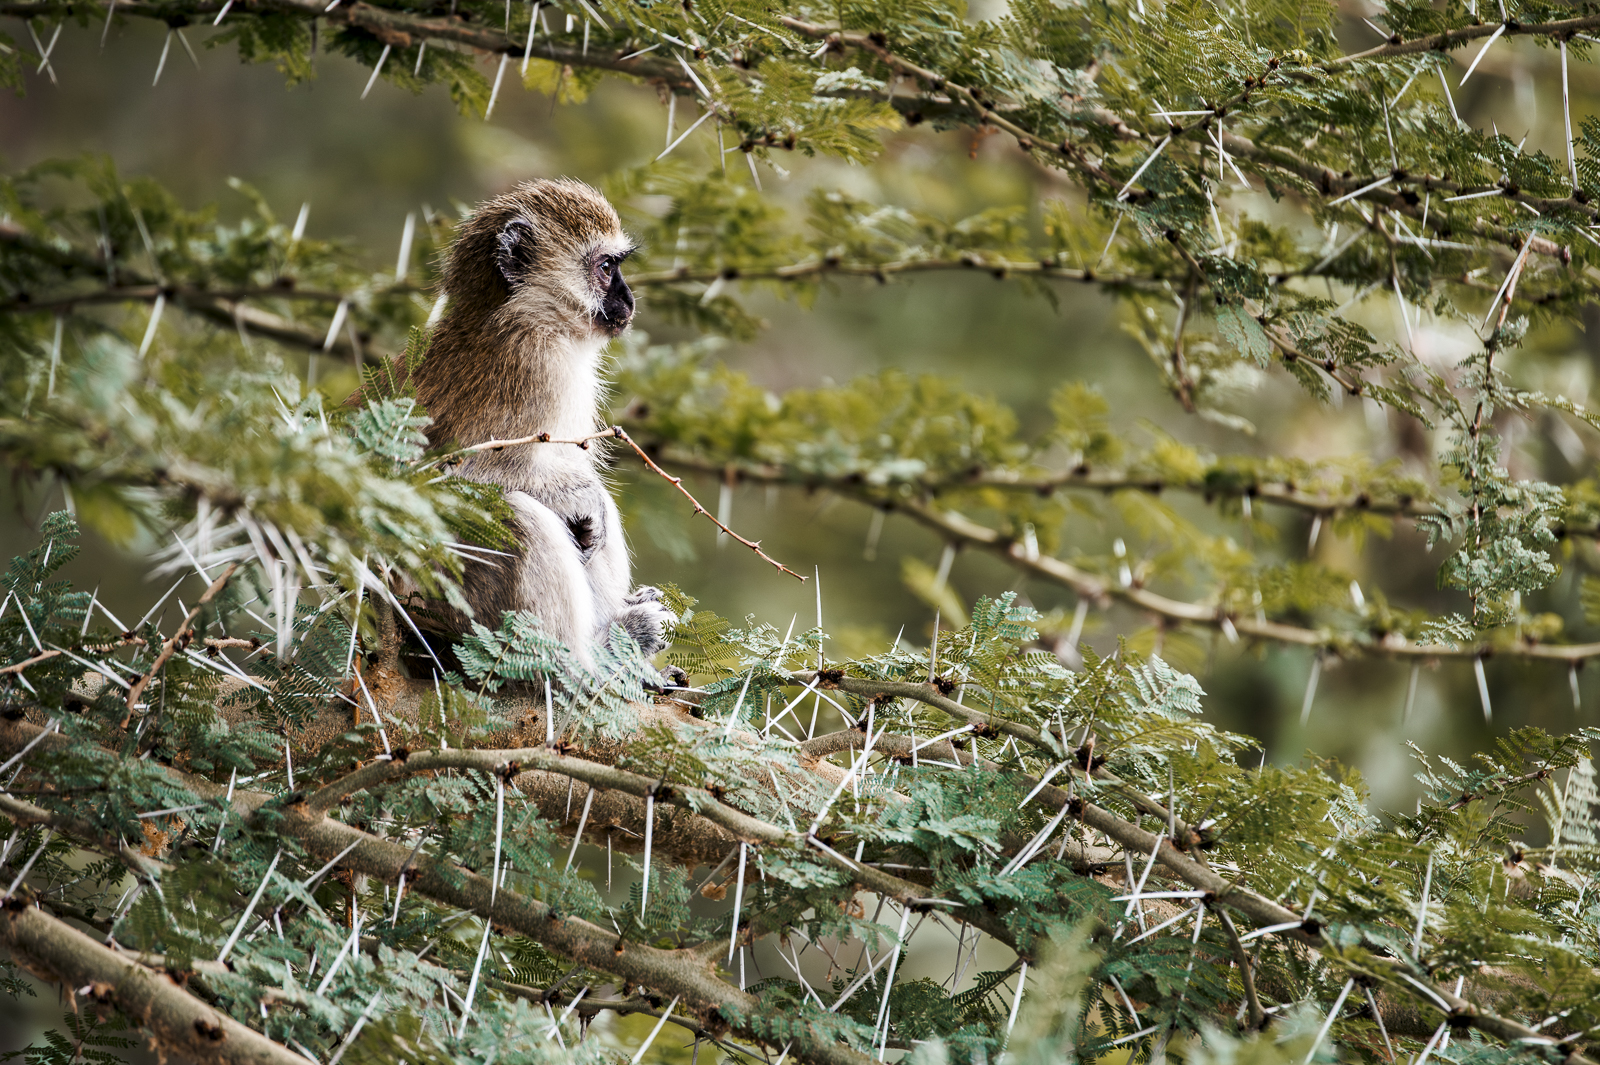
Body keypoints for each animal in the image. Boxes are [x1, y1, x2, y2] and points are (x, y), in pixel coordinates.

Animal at [408, 178, 674, 666]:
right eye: (606, 267)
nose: (629, 300)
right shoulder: (535, 366)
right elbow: (454, 474)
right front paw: (579, 500)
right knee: (517, 513)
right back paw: (590, 662)